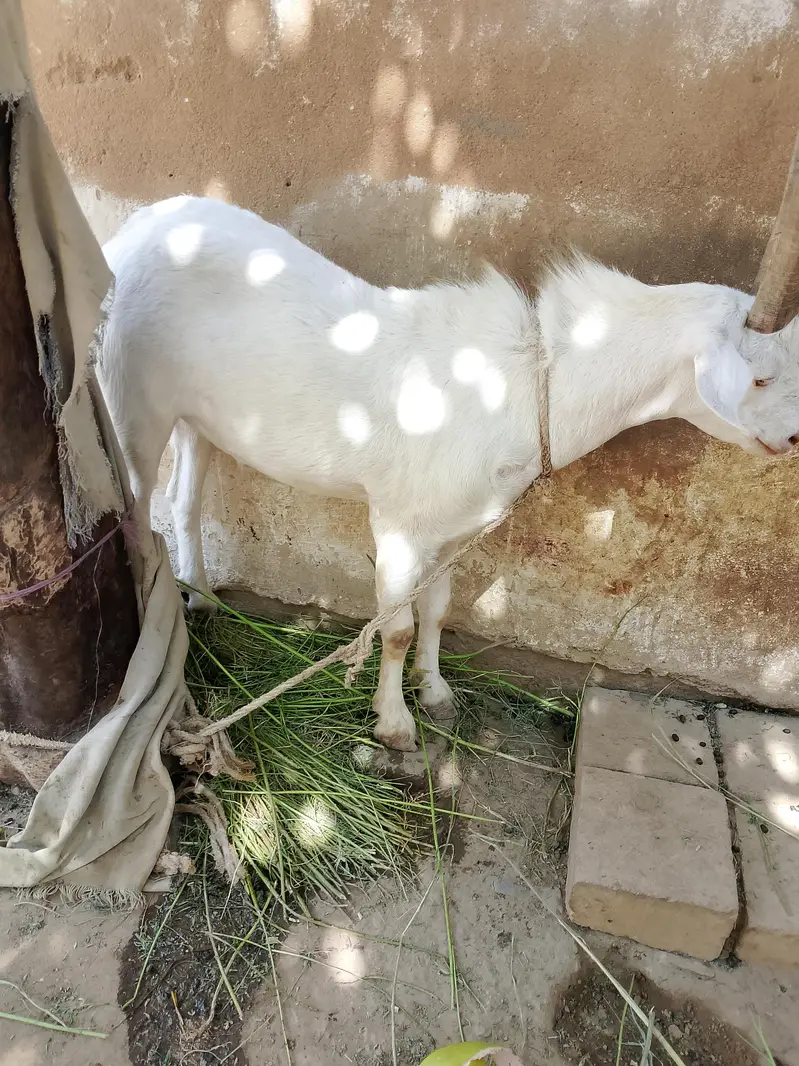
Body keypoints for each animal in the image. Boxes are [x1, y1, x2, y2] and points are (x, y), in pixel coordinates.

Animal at [98, 195, 799, 751]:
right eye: (761, 376)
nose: (792, 438)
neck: (529, 383)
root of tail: (135, 226)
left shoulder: (456, 527)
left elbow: (437, 612)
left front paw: (435, 693)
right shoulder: (399, 524)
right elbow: (398, 628)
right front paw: (394, 725)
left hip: (197, 415)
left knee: (183, 500)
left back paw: (203, 597)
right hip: (129, 400)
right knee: (136, 507)